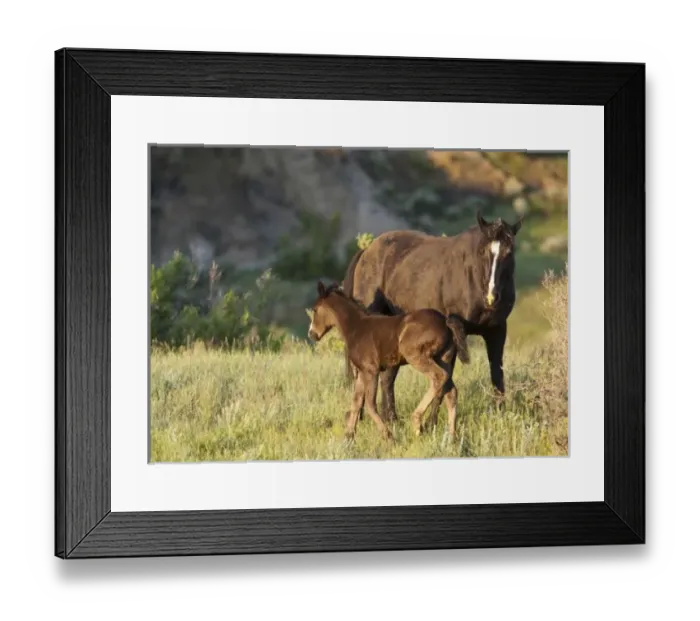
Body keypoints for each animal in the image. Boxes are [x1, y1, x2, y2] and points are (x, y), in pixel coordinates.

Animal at [307, 281, 470, 441]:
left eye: (315, 310)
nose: (312, 334)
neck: (356, 327)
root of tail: (445, 321)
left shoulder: (371, 370)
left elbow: (370, 404)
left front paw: (388, 435)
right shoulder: (361, 372)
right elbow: (356, 402)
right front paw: (348, 438)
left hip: (416, 355)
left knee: (438, 376)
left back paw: (417, 422)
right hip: (444, 358)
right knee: (451, 391)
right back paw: (452, 437)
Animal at [342, 211, 523, 423]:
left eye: (509, 252)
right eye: (482, 252)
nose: (491, 296)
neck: (473, 277)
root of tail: (366, 251)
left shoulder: (497, 331)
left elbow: (496, 373)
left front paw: (500, 415)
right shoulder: (455, 334)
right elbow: (446, 377)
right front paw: (431, 422)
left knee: (388, 377)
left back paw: (391, 418)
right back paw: (361, 416)